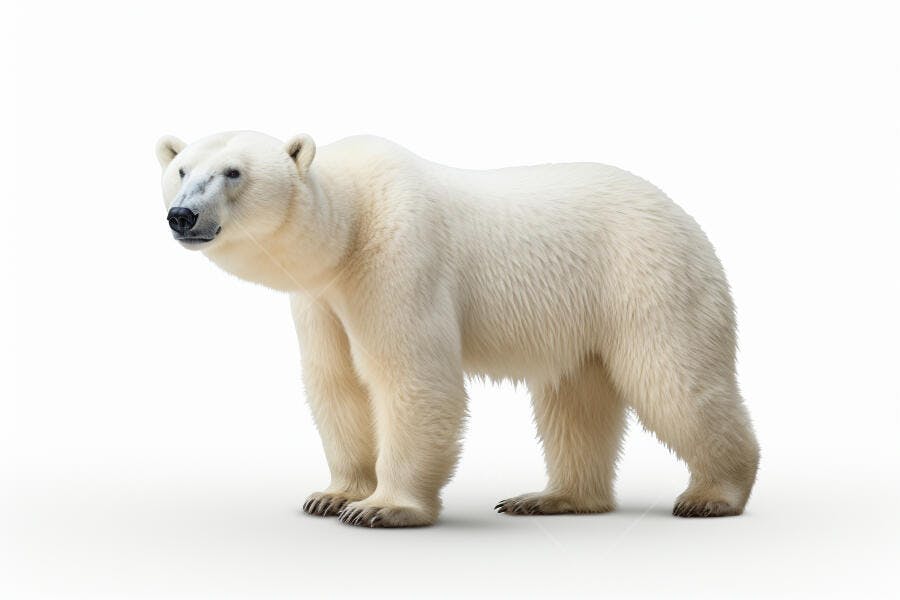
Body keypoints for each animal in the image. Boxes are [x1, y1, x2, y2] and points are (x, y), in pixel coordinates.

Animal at [156, 131, 760, 527]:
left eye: (234, 172)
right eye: (181, 170)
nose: (182, 216)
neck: (349, 225)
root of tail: (682, 212)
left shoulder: (398, 259)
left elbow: (411, 378)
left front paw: (383, 507)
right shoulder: (321, 298)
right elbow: (336, 383)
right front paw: (331, 496)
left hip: (647, 278)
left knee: (674, 381)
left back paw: (713, 495)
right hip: (582, 317)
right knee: (573, 401)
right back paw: (551, 497)